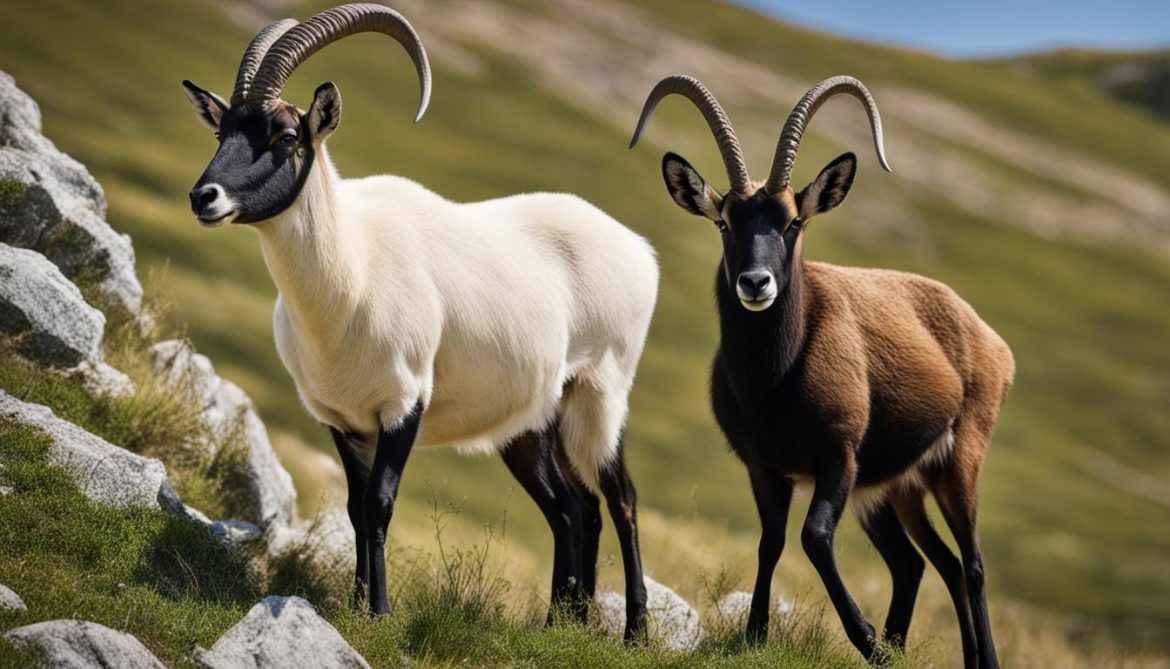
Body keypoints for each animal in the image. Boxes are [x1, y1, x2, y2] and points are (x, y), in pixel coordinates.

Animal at [181, 4, 657, 637]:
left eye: (286, 136)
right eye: (222, 132)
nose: (203, 197)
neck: (354, 269)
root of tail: (640, 252)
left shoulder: (403, 405)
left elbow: (380, 503)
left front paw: (380, 613)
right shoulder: (342, 421)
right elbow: (355, 509)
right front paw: (357, 606)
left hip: (600, 395)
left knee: (620, 498)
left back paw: (633, 634)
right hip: (533, 425)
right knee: (573, 508)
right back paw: (562, 623)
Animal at [631, 75, 1014, 668]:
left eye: (793, 220)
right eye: (724, 221)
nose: (755, 282)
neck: (772, 379)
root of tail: (991, 341)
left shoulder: (840, 457)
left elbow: (813, 536)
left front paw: (867, 641)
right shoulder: (764, 468)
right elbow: (771, 542)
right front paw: (757, 636)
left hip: (957, 463)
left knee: (970, 564)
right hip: (895, 489)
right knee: (924, 563)